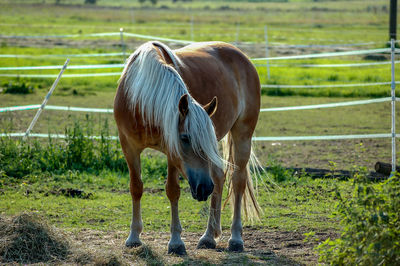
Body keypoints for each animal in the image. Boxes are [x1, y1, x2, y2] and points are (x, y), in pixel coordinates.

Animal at [113, 40, 262, 255]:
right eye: (185, 138)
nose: (204, 188)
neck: (139, 99)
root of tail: (241, 55)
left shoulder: (171, 152)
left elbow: (172, 190)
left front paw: (176, 242)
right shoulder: (128, 147)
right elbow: (136, 188)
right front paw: (134, 237)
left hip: (242, 135)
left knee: (237, 181)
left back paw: (235, 238)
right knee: (219, 177)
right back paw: (209, 236)